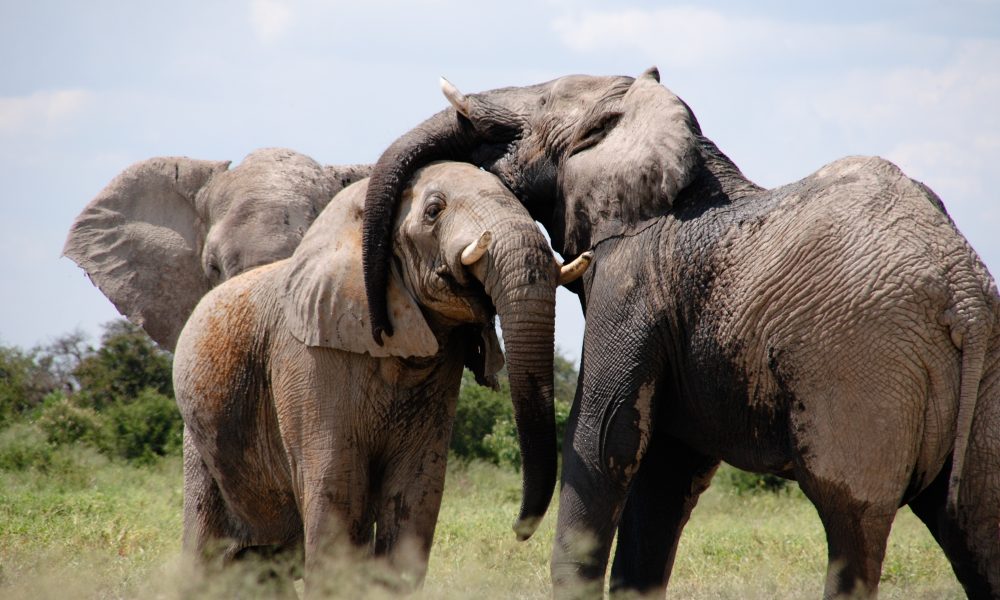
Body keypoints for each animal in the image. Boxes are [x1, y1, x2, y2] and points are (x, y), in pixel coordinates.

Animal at [172, 161, 588, 590]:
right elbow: (336, 489)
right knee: (206, 553)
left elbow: (416, 491)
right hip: (199, 441)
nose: (518, 530)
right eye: (434, 211)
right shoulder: (307, 359)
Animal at [358, 69, 1000, 598]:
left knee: (852, 528)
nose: (518, 529)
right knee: (974, 529)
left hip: (862, 368)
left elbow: (604, 437)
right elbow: (666, 470)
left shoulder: (632, 277)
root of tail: (962, 291)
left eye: (538, 104)